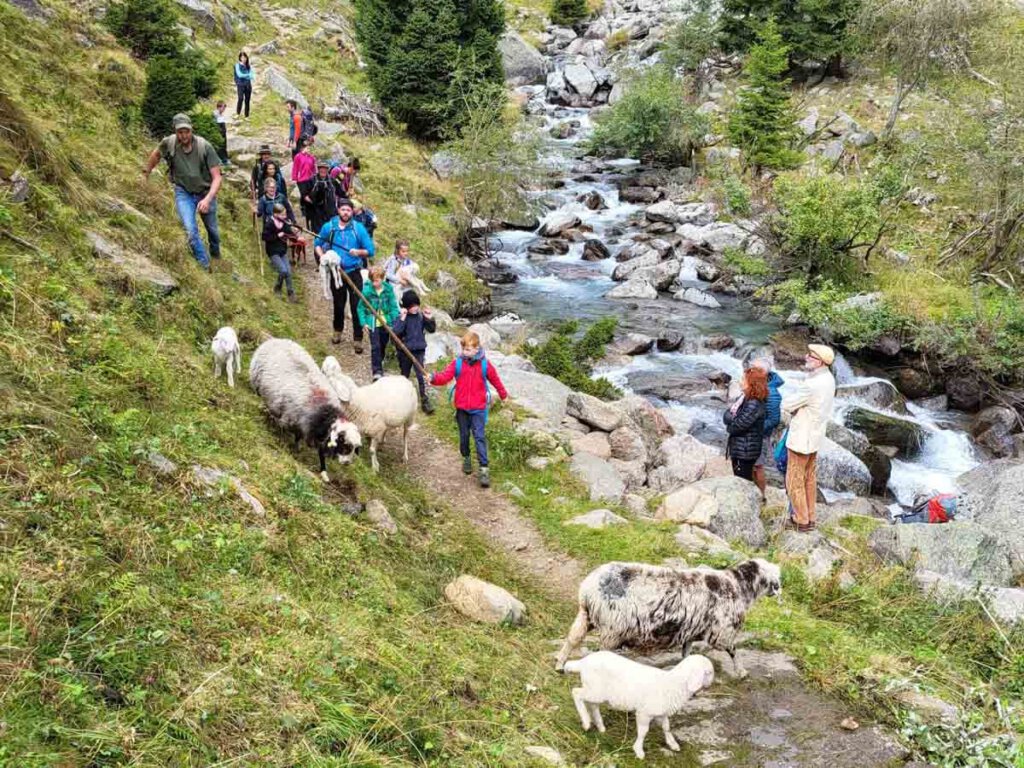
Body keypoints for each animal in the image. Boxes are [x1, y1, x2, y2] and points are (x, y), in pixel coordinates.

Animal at [248, 337, 364, 481]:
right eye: (345, 444)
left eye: (355, 448)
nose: (347, 463)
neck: (324, 413)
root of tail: (276, 339)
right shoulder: (293, 420)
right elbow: (290, 433)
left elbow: (311, 446)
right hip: (256, 382)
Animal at [557, 561, 778, 679]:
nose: (777, 591)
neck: (739, 586)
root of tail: (588, 588)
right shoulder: (721, 632)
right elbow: (733, 650)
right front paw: (742, 672)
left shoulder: (692, 629)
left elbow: (687, 651)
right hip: (612, 628)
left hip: (586, 616)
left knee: (572, 638)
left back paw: (560, 664)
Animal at [565, 651, 716, 761]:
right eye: (708, 672)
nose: (710, 684)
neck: (674, 683)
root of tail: (583, 662)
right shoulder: (645, 712)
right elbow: (643, 732)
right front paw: (638, 750)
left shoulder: (661, 712)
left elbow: (666, 727)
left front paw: (673, 744)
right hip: (595, 689)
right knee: (576, 693)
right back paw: (586, 722)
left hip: (596, 690)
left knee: (592, 705)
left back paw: (600, 726)